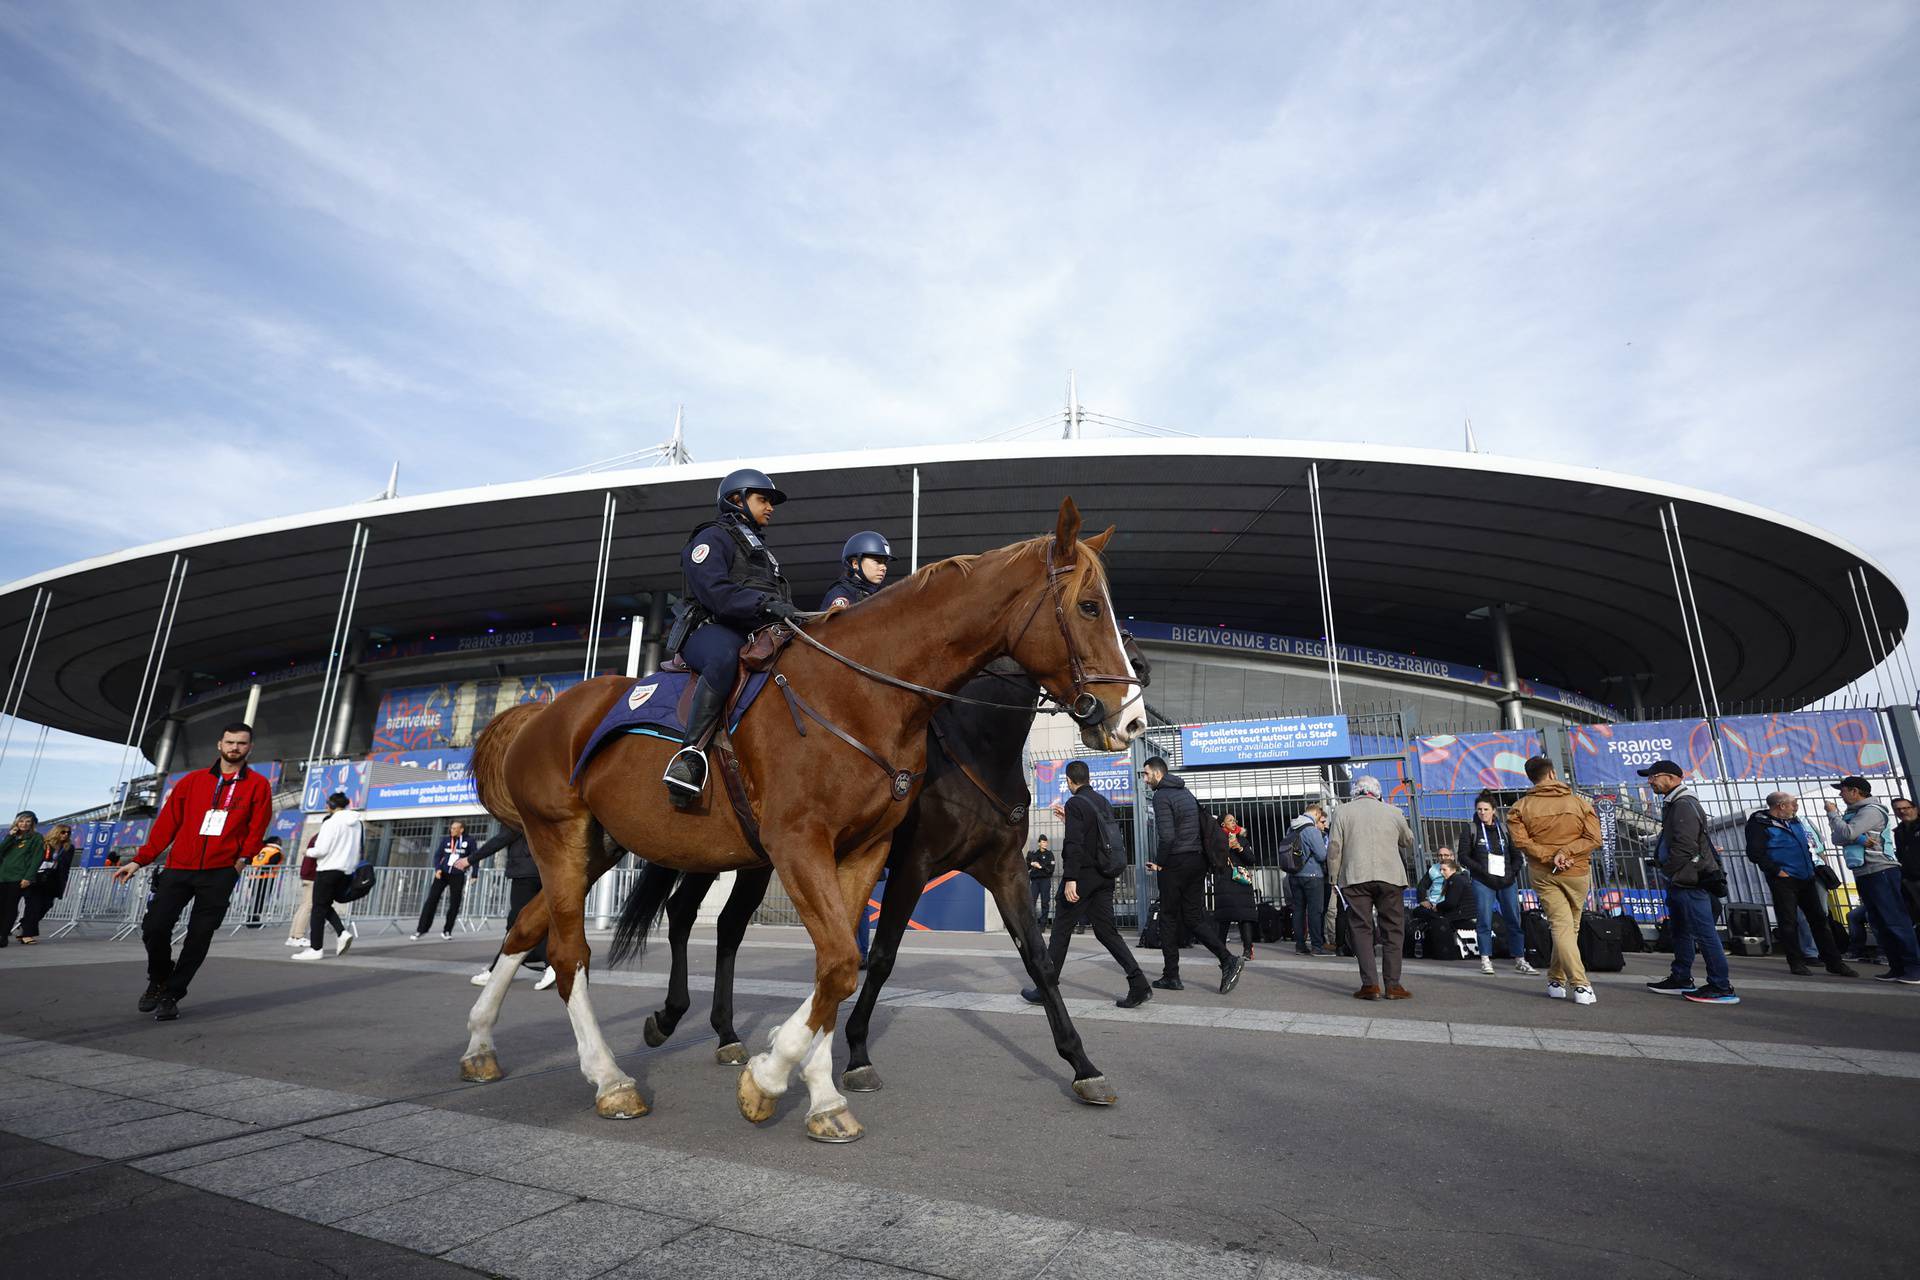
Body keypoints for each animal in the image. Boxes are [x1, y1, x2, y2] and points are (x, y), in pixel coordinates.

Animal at [622, 640, 1144, 1113]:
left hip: (757, 861)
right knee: (685, 912)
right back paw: (675, 1018)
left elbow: (1039, 960)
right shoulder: (914, 867)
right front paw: (855, 1053)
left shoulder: (1003, 868)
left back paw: (726, 1033)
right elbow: (883, 956)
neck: (976, 749)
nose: (1129, 714)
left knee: (728, 925)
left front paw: (1083, 1066)